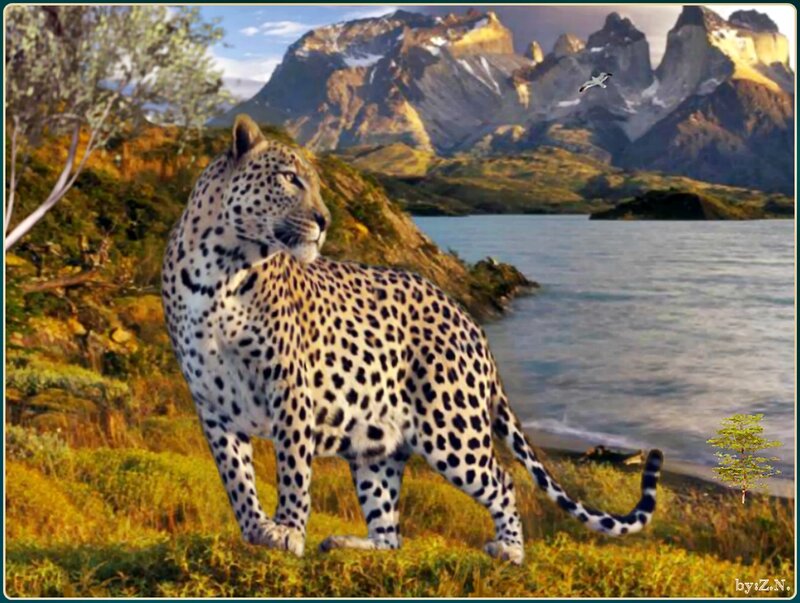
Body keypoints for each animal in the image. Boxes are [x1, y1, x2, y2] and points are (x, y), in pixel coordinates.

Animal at [161, 114, 663, 565]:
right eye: (289, 178)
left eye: (318, 186)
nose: (324, 220)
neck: (221, 271)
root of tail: (470, 321)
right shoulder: (211, 402)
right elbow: (236, 477)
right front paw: (255, 530)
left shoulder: (289, 387)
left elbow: (293, 469)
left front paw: (287, 531)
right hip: (374, 444)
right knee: (390, 532)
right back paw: (349, 543)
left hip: (451, 426)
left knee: (502, 480)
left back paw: (511, 550)